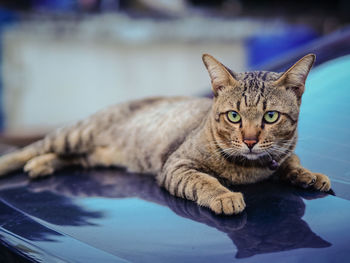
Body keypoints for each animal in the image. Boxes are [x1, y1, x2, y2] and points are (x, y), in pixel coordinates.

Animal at [0, 54, 330, 217]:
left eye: (270, 116)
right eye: (234, 116)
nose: (250, 141)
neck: (251, 168)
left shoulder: (283, 152)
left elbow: (291, 161)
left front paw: (308, 174)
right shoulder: (177, 165)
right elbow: (204, 180)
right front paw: (224, 195)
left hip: (94, 155)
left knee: (70, 158)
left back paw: (42, 165)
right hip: (76, 133)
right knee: (29, 149)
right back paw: (24, 162)